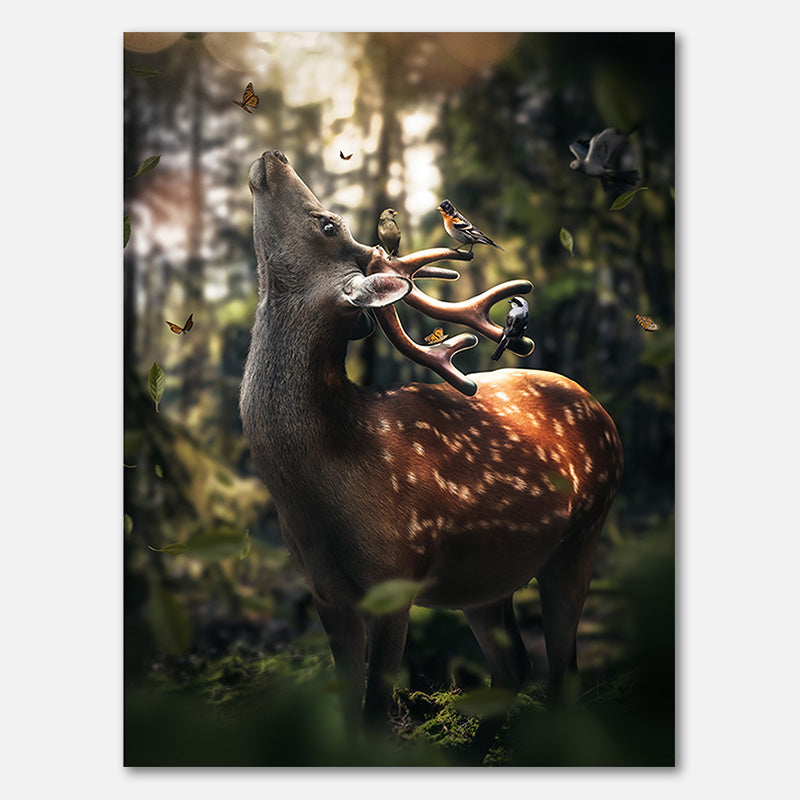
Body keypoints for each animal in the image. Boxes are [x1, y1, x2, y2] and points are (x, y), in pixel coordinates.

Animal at [239, 149, 623, 752]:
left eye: (328, 224)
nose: (272, 156)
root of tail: (603, 412)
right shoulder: (325, 592)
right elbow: (347, 706)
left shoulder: (396, 578)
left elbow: (375, 711)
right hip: (485, 576)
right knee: (515, 664)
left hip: (584, 533)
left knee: (562, 667)